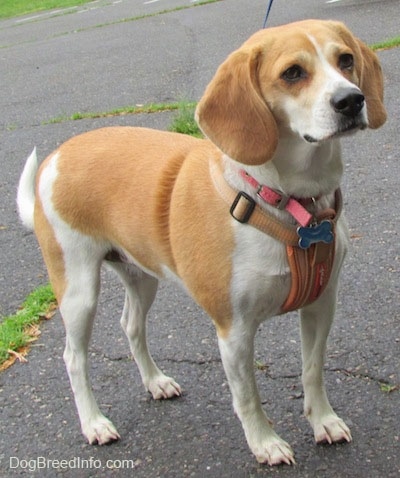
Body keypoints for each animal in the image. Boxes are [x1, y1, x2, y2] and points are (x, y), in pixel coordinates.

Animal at [18, 19, 384, 466]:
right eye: (293, 73)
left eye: (345, 60)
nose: (351, 100)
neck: (285, 200)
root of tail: (58, 156)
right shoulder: (234, 331)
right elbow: (248, 397)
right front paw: (264, 443)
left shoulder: (320, 304)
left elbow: (313, 370)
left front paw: (323, 421)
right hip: (78, 291)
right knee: (73, 358)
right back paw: (94, 423)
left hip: (142, 277)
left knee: (131, 326)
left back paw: (155, 382)